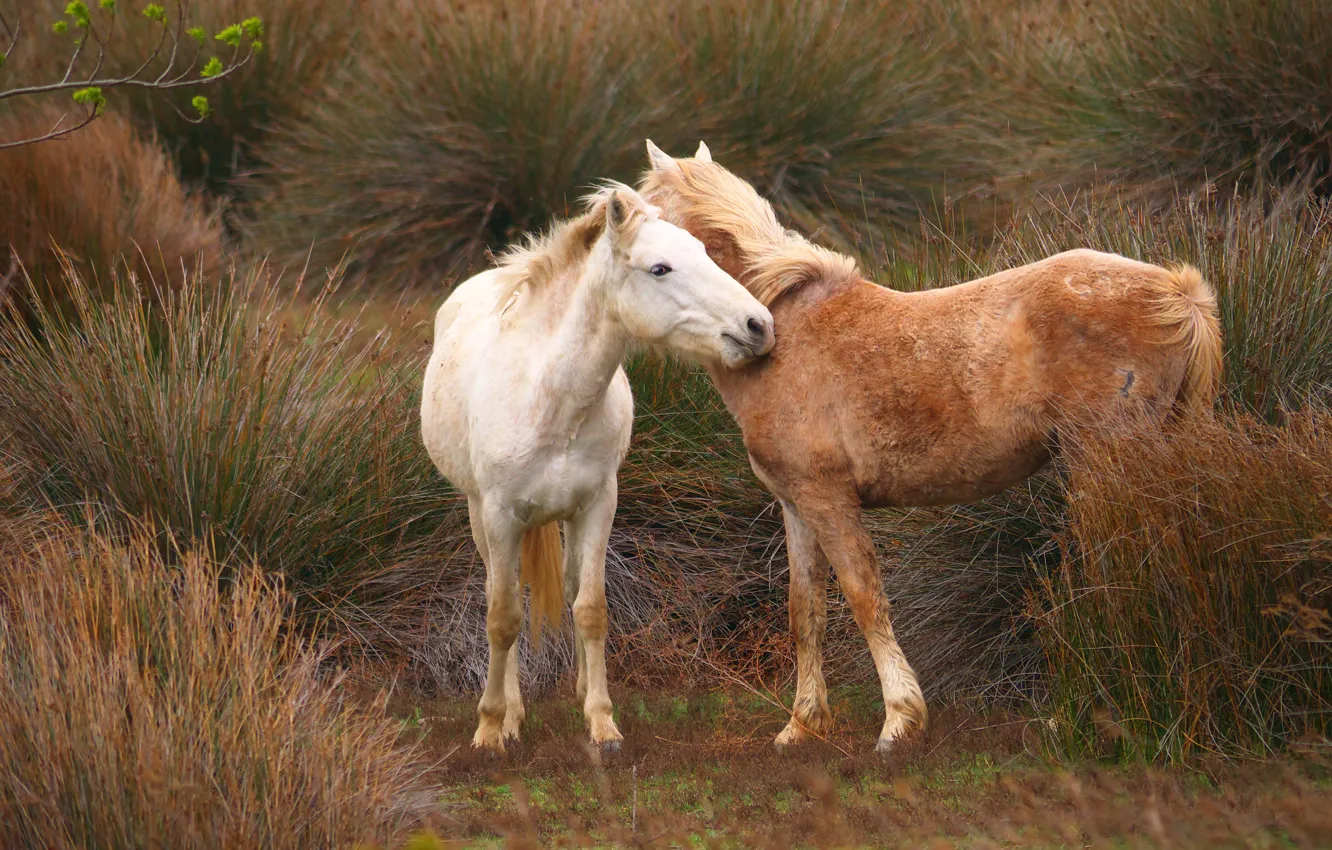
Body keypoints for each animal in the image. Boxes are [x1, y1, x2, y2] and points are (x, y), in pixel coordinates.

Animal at [421, 183, 775, 752]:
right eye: (659, 268)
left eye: (703, 253)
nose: (759, 326)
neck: (550, 396)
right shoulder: (500, 515)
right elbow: (502, 618)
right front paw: (492, 725)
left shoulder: (597, 506)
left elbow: (591, 608)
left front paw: (602, 721)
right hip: (481, 516)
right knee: (502, 593)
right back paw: (512, 713)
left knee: (567, 588)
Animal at [638, 140, 1224, 754]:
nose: (755, 330)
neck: (784, 330)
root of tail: (1178, 291)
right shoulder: (797, 506)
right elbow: (806, 611)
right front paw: (802, 725)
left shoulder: (829, 500)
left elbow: (864, 597)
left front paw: (899, 721)